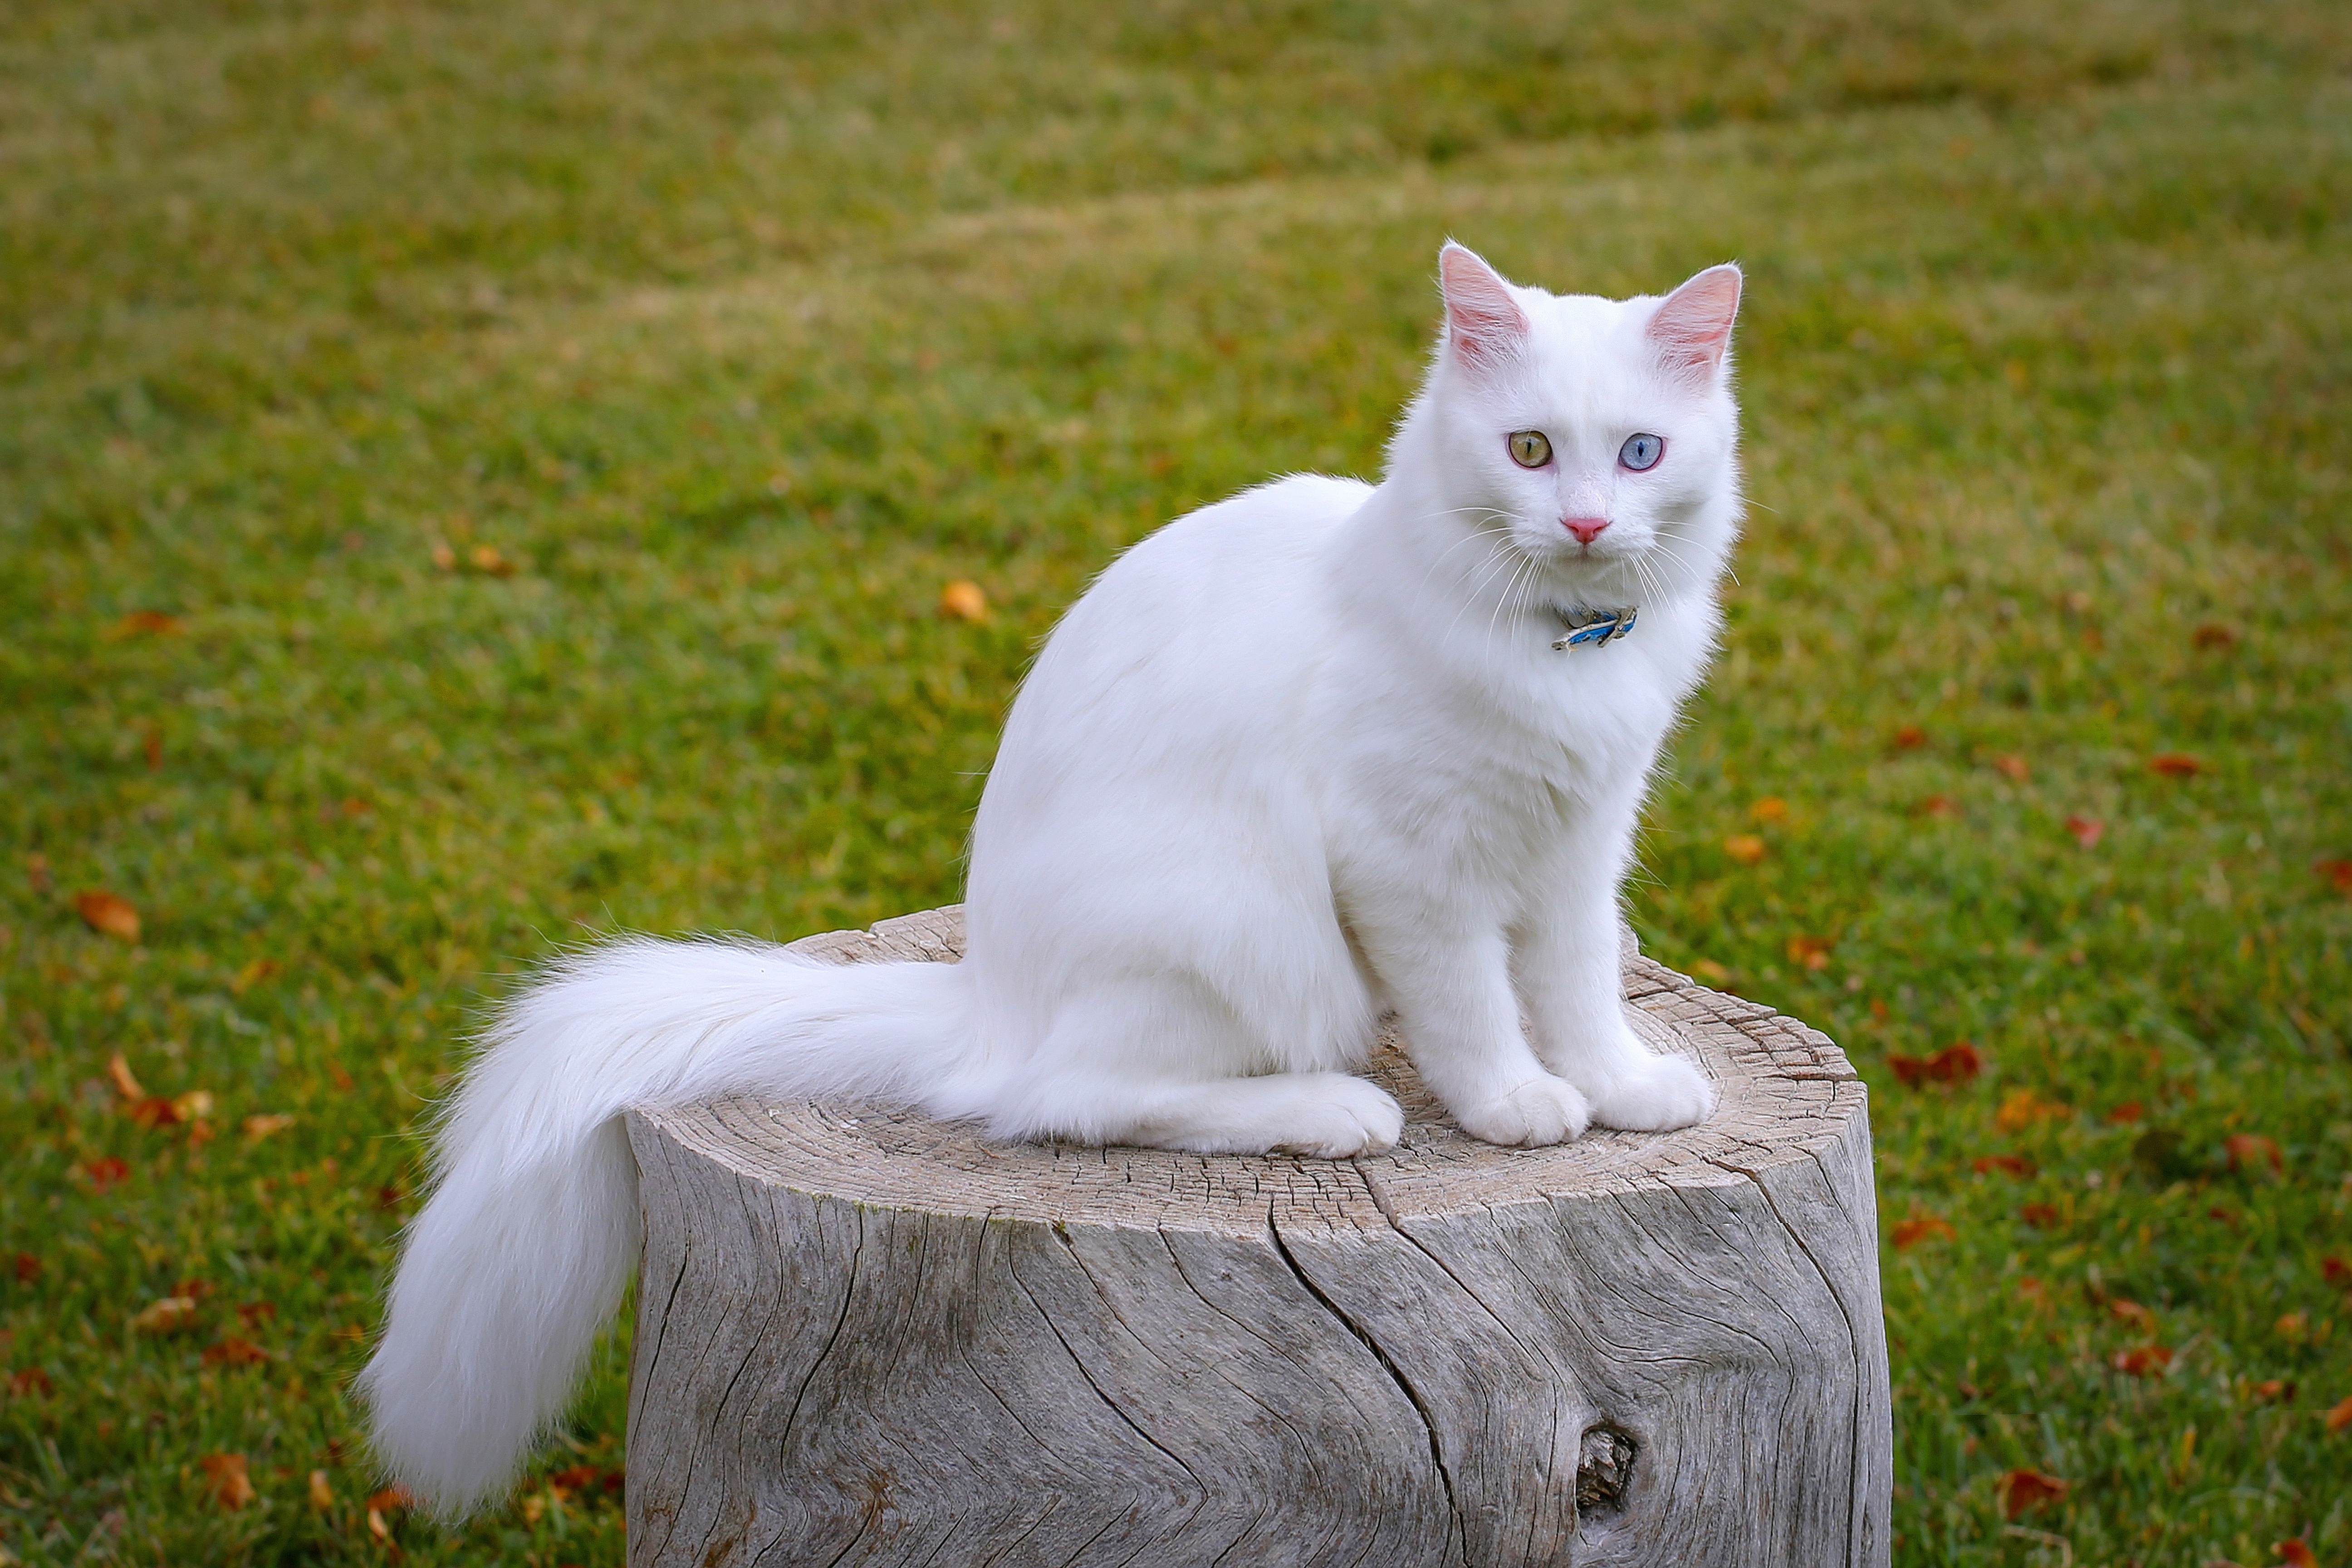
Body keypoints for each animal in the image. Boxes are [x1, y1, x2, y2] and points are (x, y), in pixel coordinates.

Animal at [357, 242, 1740, 1504]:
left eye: (1637, 455)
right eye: (1528, 450)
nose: (1583, 521)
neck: (1564, 652)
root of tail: (982, 999)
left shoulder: (1580, 848)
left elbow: (1577, 992)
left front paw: (1619, 1087)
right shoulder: (1412, 863)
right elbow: (1473, 1012)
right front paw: (1515, 1104)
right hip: (1223, 930)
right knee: (1064, 1099)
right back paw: (1325, 1109)